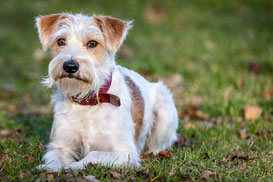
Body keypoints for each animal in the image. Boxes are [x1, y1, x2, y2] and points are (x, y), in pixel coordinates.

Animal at [35, 13, 177, 171]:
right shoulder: (60, 146)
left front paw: (72, 167)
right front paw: (50, 169)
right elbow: (55, 160)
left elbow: (93, 155)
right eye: (61, 41)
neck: (87, 101)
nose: (70, 66)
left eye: (92, 43)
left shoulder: (124, 153)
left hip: (164, 111)